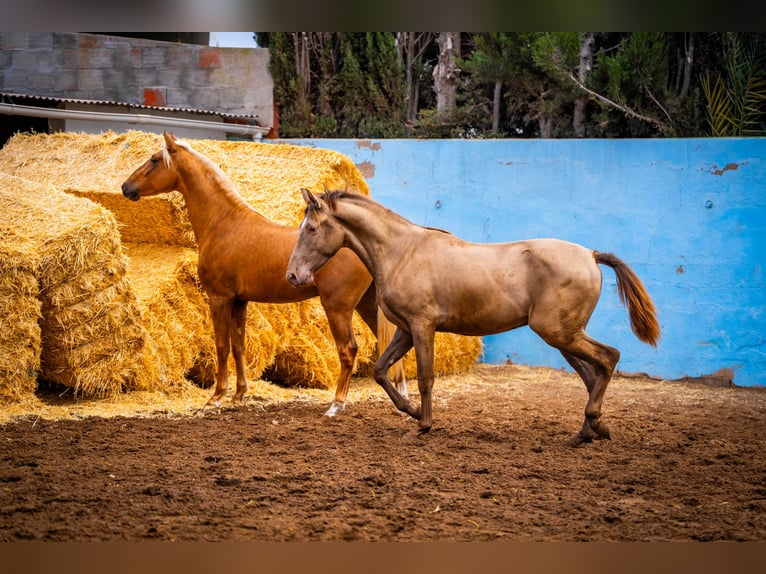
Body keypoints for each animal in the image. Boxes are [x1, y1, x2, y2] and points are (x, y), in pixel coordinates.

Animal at [121, 133, 408, 416]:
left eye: (154, 159)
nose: (126, 187)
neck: (223, 223)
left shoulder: (219, 298)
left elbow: (222, 346)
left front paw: (216, 397)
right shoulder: (239, 301)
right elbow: (238, 346)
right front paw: (239, 395)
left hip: (338, 307)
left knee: (348, 349)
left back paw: (336, 404)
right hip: (367, 304)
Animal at [288, 191, 660, 448]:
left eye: (311, 228)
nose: (293, 275)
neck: (401, 252)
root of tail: (591, 255)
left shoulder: (422, 326)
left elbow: (426, 378)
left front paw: (422, 426)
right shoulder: (406, 330)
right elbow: (381, 370)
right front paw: (411, 411)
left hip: (559, 333)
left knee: (608, 358)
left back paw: (594, 424)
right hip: (564, 336)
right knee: (591, 375)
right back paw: (585, 433)